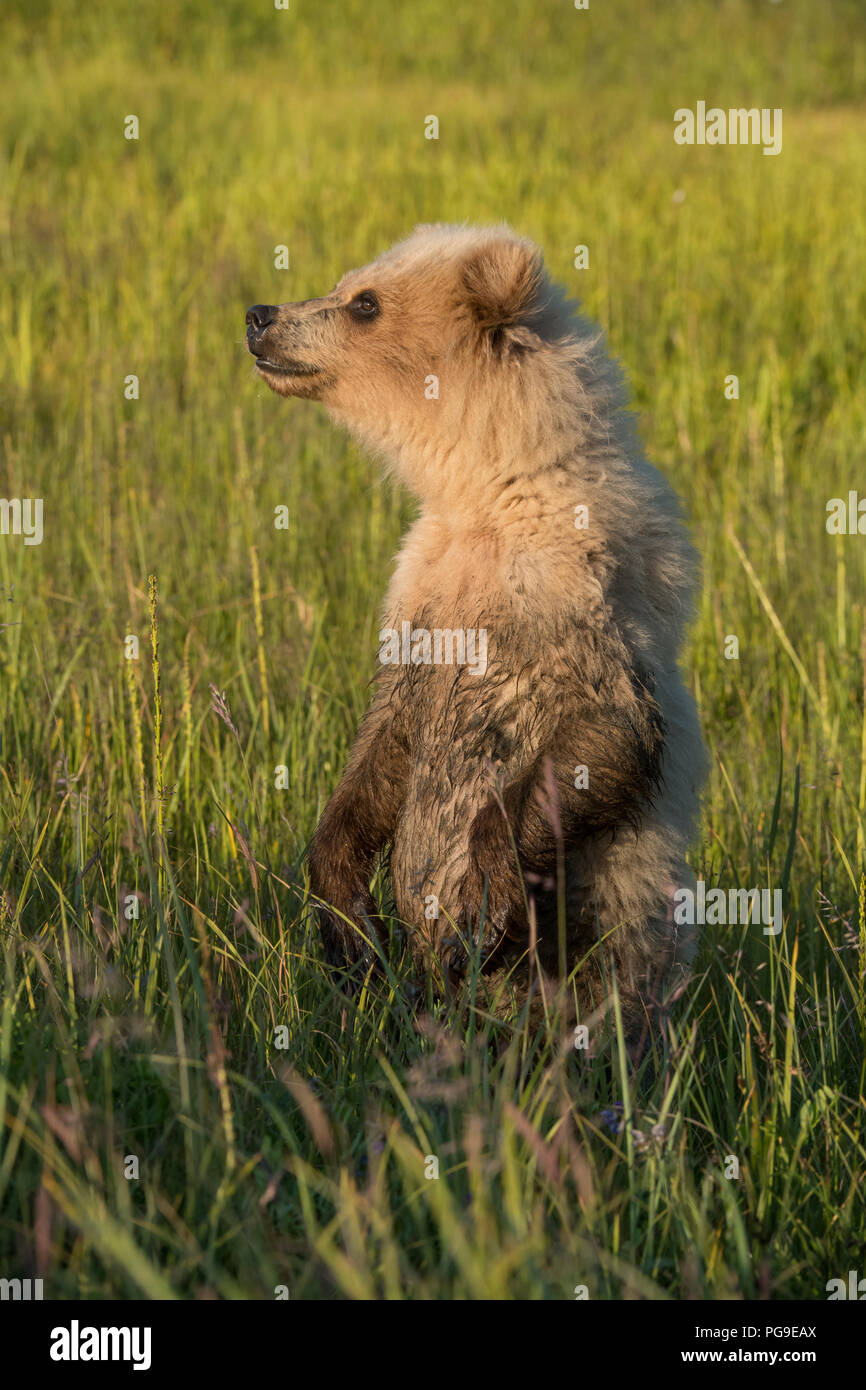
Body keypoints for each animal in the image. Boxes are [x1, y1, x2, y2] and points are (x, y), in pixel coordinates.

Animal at [245, 223, 708, 1041]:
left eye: (365, 303)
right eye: (347, 284)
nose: (260, 316)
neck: (485, 490)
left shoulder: (577, 596)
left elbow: (604, 732)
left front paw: (480, 901)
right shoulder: (421, 594)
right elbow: (386, 742)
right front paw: (347, 919)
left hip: (605, 929)